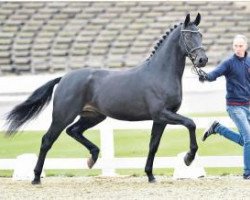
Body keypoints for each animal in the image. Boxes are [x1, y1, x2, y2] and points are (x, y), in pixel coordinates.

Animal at [5, 13, 207, 184]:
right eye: (188, 36)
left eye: (200, 35)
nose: (202, 60)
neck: (160, 73)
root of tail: (63, 78)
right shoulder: (162, 114)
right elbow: (191, 124)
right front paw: (188, 158)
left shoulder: (161, 119)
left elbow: (153, 145)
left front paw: (150, 176)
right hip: (63, 116)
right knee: (47, 140)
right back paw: (36, 178)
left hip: (93, 116)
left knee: (73, 131)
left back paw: (92, 158)